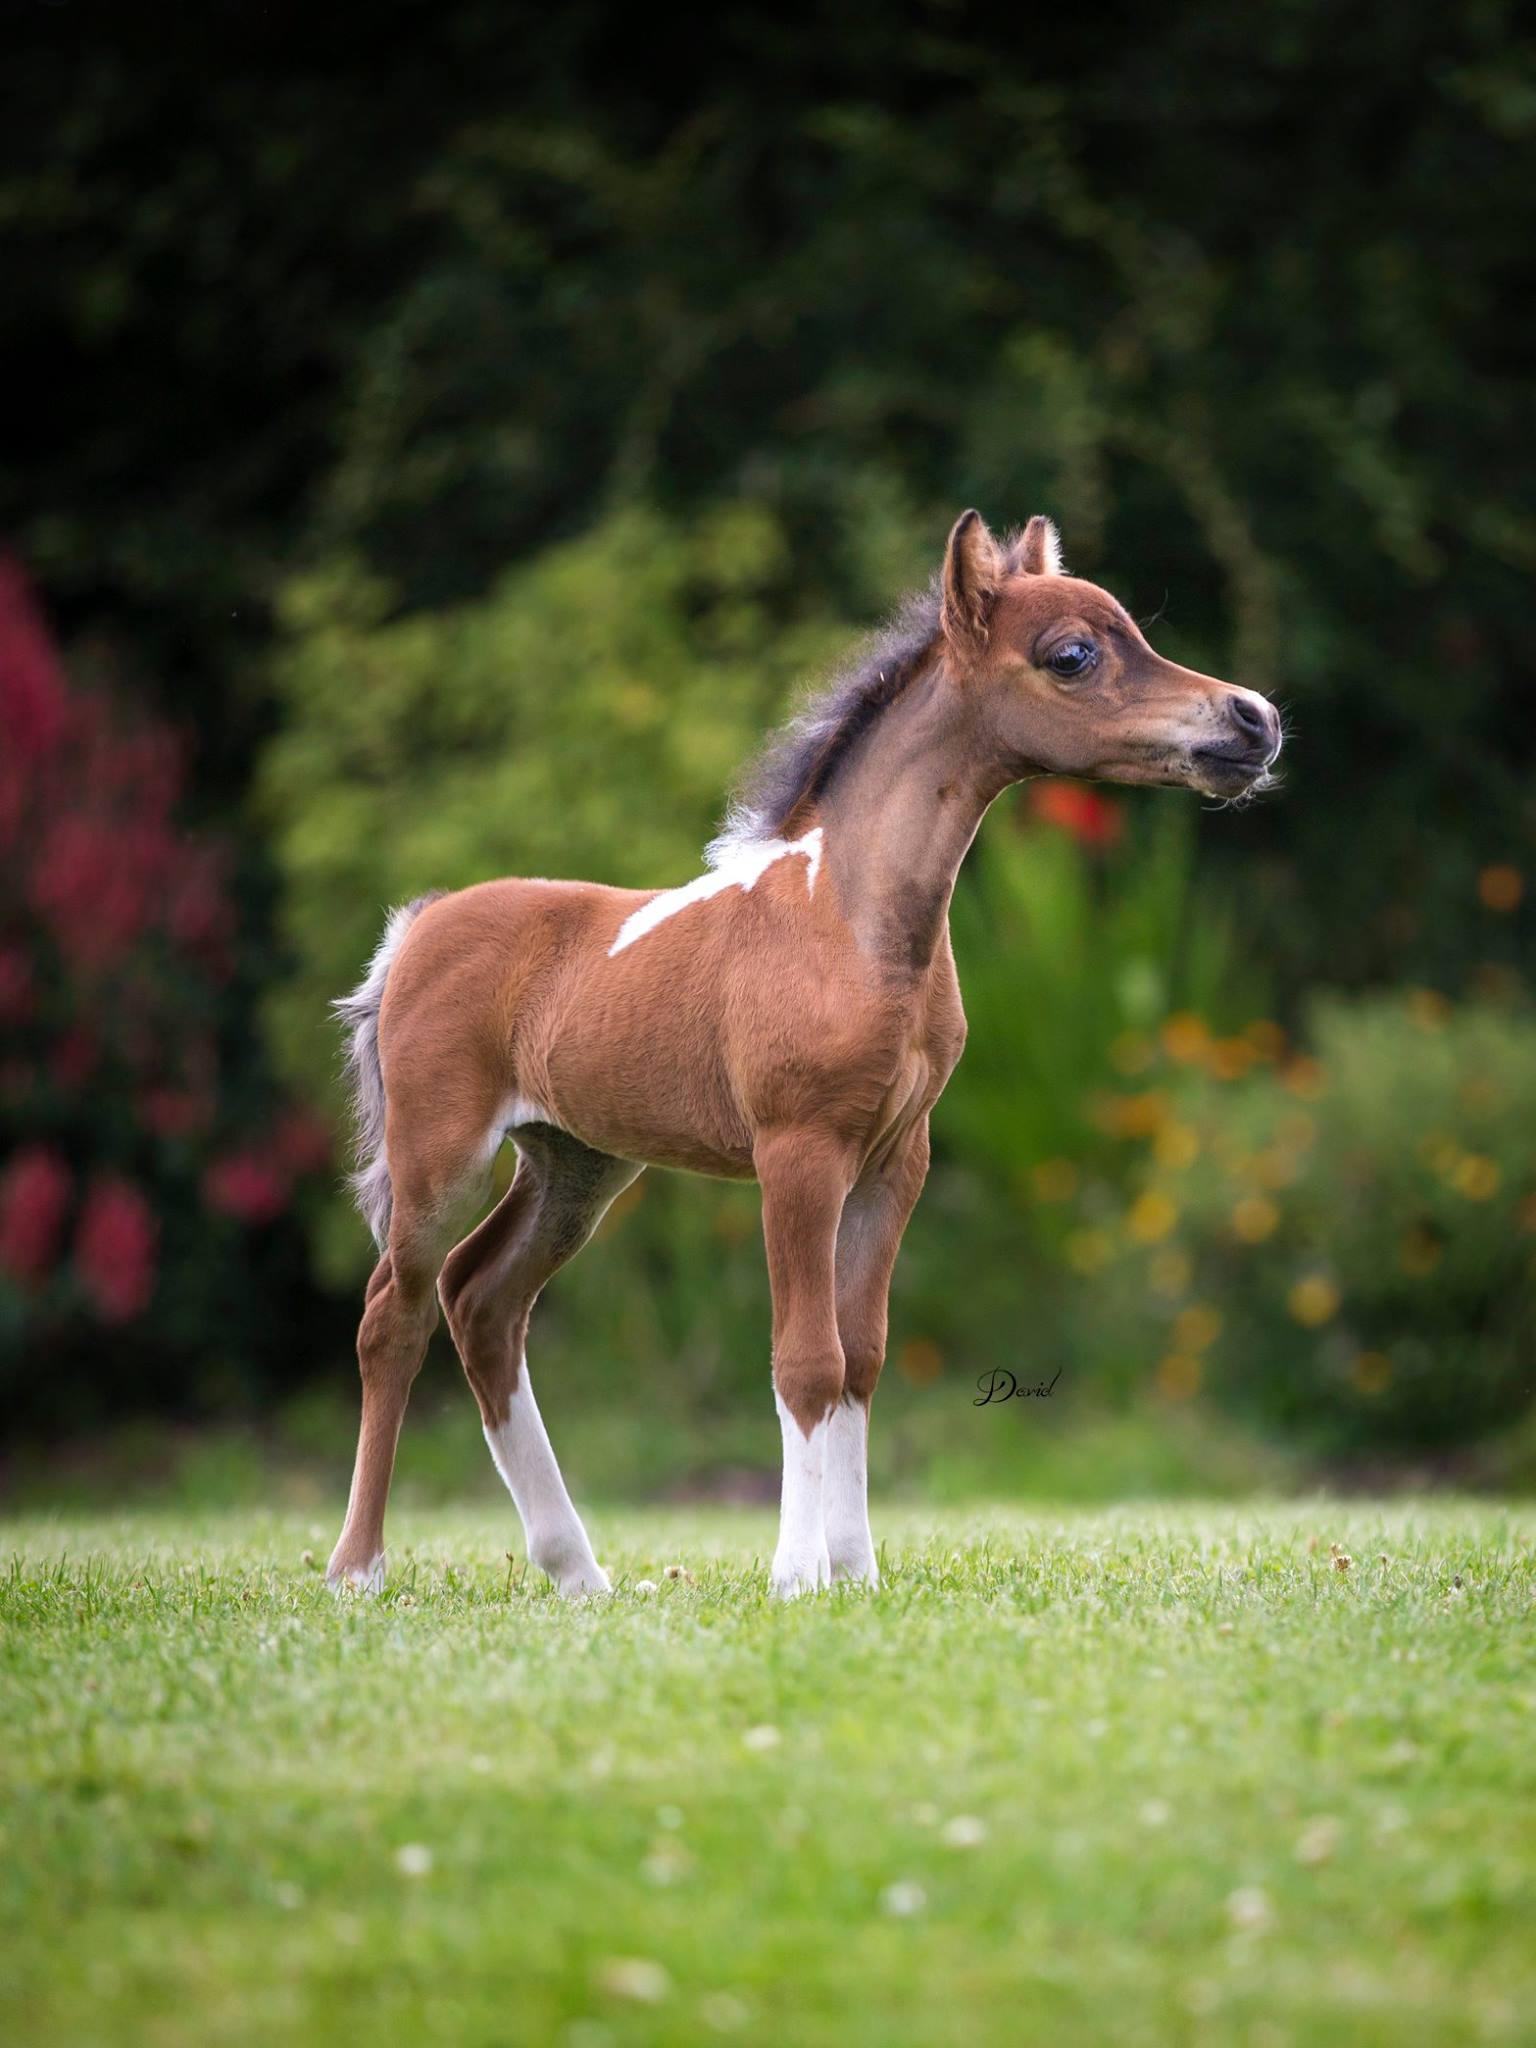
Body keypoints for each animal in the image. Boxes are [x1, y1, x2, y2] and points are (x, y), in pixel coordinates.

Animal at [325, 510, 1281, 1599]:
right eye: (1073, 655)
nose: (1253, 720)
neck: (850, 921)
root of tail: (418, 927)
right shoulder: (798, 1153)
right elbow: (804, 1359)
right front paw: (796, 1574)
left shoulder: (896, 1160)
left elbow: (860, 1356)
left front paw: (857, 1570)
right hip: (439, 1153)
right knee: (393, 1315)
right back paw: (358, 1569)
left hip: (578, 1162)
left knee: (483, 1302)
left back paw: (580, 1574)